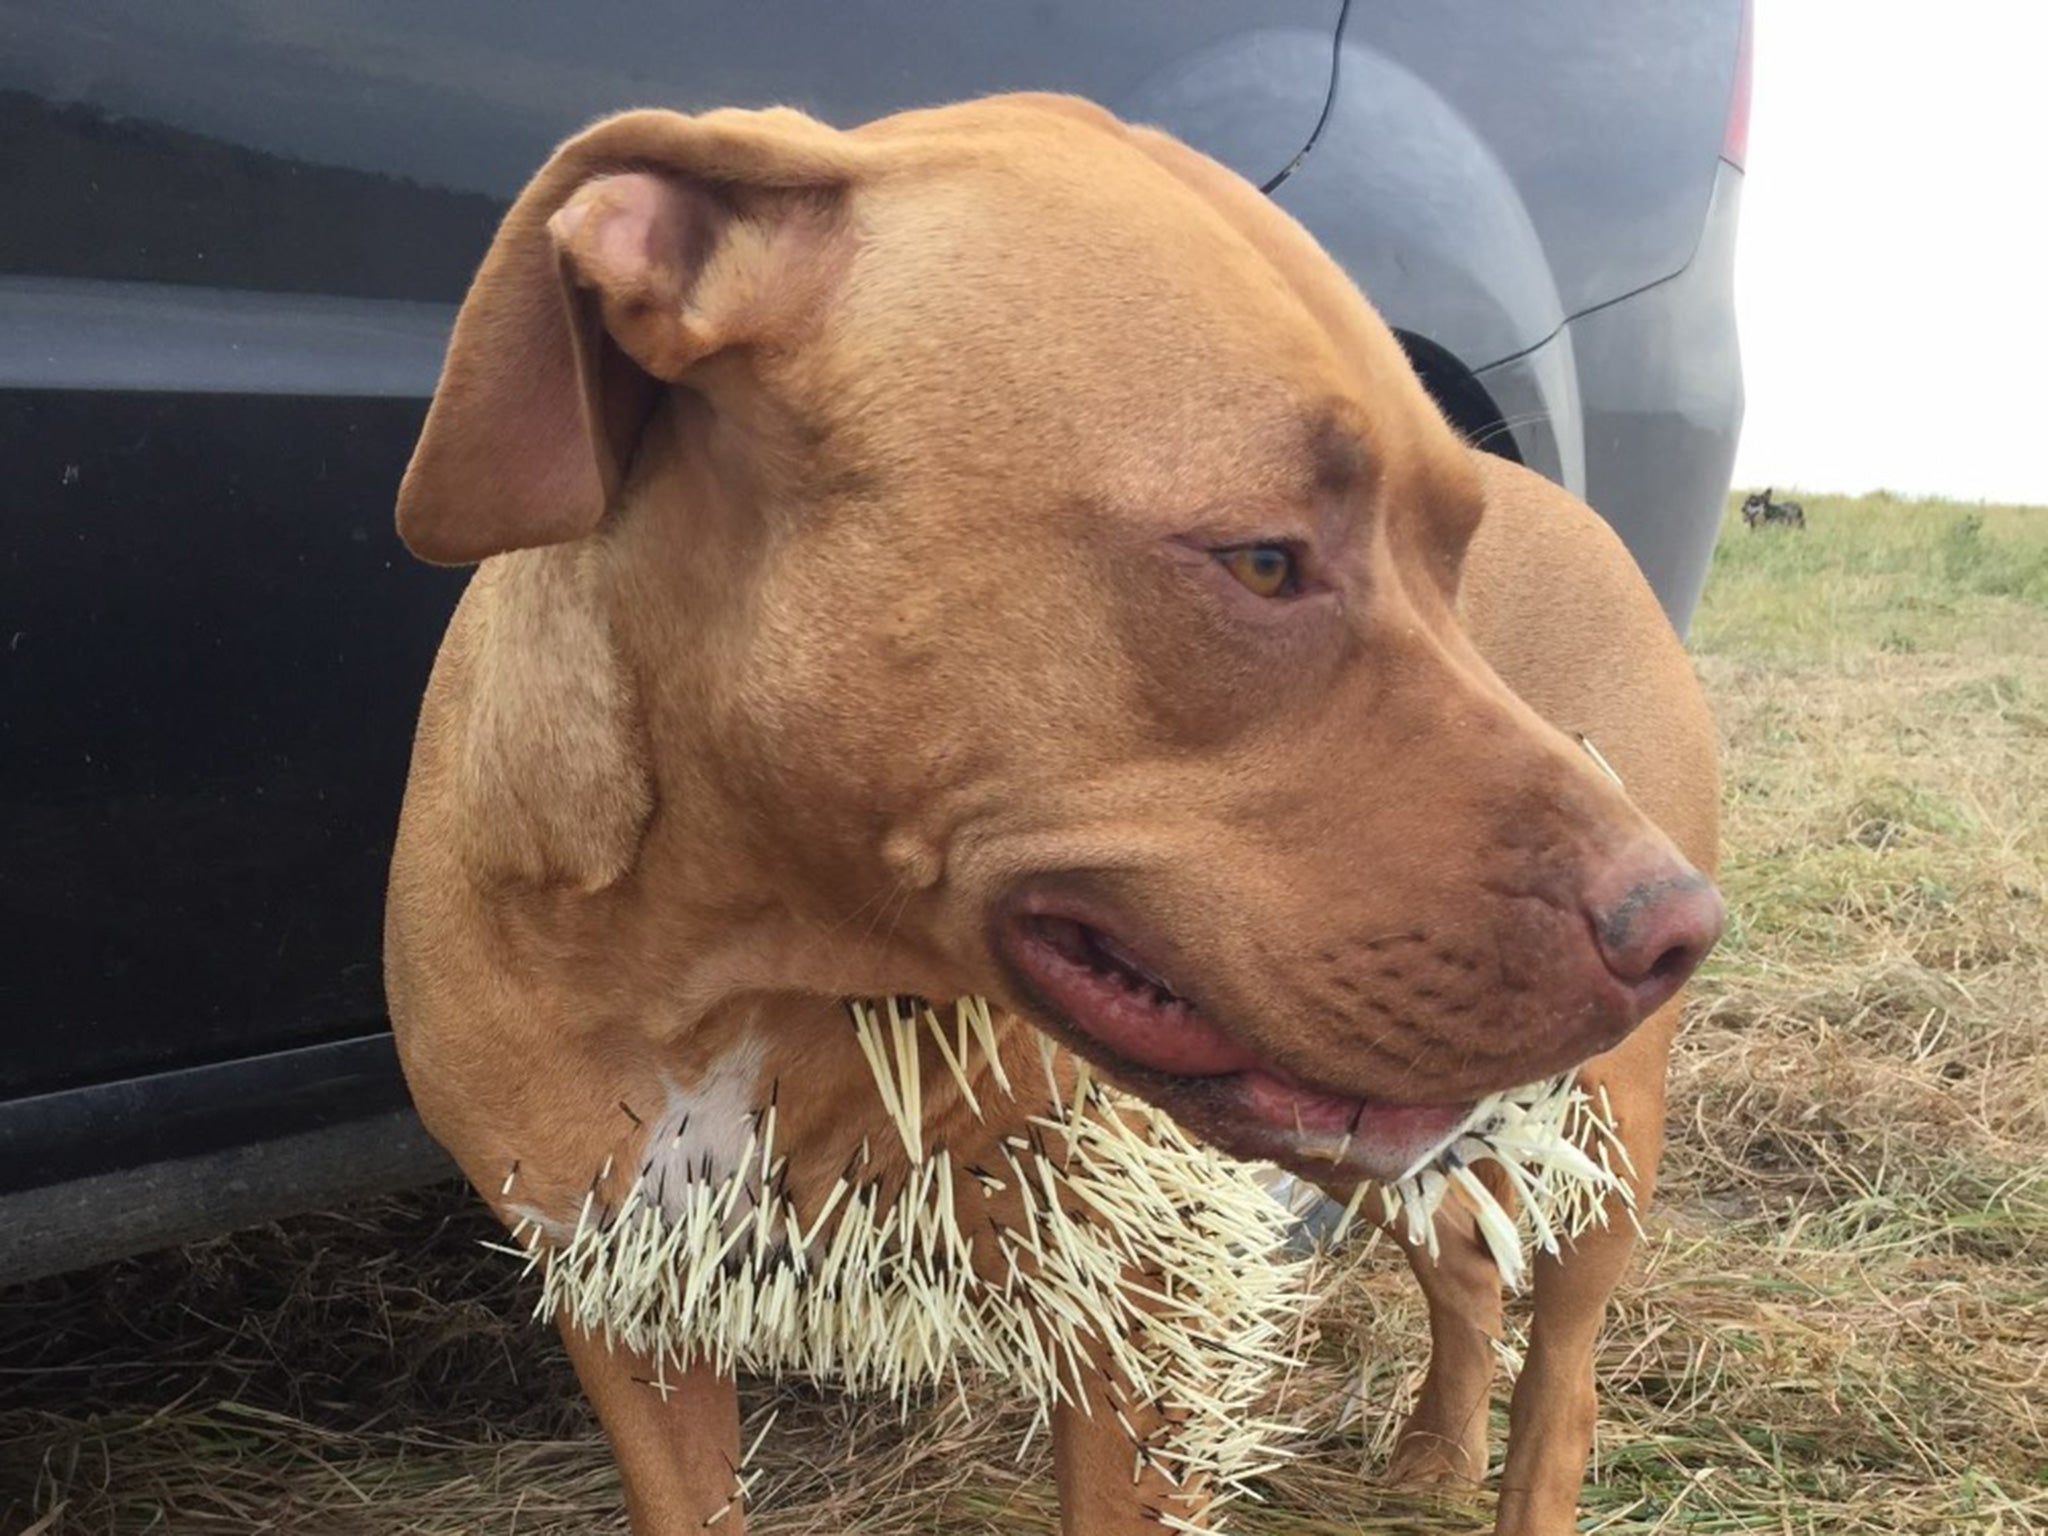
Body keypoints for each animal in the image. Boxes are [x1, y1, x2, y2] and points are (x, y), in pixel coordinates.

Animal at [387, 96, 1728, 1536]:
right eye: (1263, 561)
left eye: (1454, 564)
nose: (1676, 926)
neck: (736, 952)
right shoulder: (624, 1306)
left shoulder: (1138, 1301)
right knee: (1468, 1252)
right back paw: (1435, 1448)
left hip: (1604, 1136)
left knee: (1564, 1380)